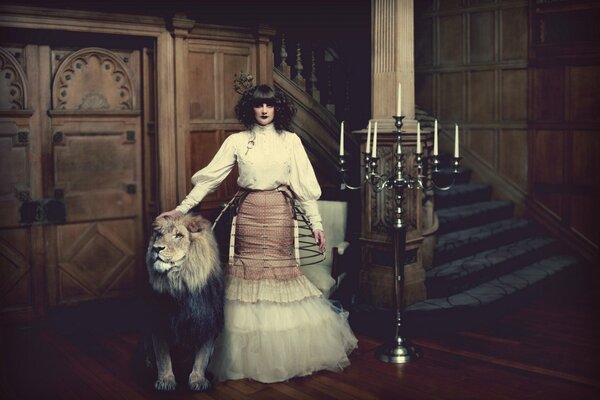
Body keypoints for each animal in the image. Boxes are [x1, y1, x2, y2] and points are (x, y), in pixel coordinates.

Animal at [142, 214, 223, 392]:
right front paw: (166, 380)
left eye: (178, 235)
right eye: (159, 235)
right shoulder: (160, 323)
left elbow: (202, 356)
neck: (180, 284)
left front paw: (198, 380)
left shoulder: (207, 322)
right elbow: (162, 357)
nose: (156, 249)